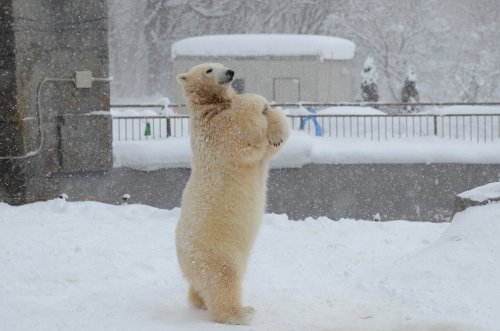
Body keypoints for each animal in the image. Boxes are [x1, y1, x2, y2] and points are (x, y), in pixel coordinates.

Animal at [176, 63, 290, 326]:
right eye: (209, 69)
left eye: (222, 63)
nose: (230, 72)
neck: (208, 108)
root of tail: (182, 259)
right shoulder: (216, 131)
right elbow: (240, 125)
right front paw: (259, 103)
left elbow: (271, 145)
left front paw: (275, 129)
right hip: (214, 249)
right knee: (223, 278)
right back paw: (240, 312)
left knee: (200, 288)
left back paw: (199, 302)